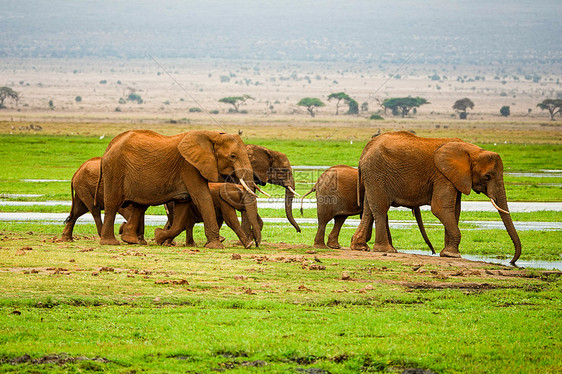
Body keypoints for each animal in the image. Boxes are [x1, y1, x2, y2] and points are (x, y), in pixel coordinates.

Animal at [98, 129, 254, 248]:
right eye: (232, 156)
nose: (252, 243)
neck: (212, 135)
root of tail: (110, 145)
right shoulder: (189, 166)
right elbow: (202, 197)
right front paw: (216, 246)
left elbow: (183, 206)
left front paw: (158, 236)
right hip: (114, 168)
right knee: (112, 204)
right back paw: (110, 242)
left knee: (140, 206)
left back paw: (130, 240)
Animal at [350, 130, 520, 264]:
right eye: (487, 176)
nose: (512, 261)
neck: (472, 150)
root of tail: (365, 149)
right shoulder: (442, 175)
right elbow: (441, 209)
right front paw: (452, 255)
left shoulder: (454, 177)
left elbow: (455, 210)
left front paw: (446, 253)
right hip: (377, 173)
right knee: (380, 208)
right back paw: (386, 250)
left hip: (372, 175)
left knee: (369, 208)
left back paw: (360, 247)